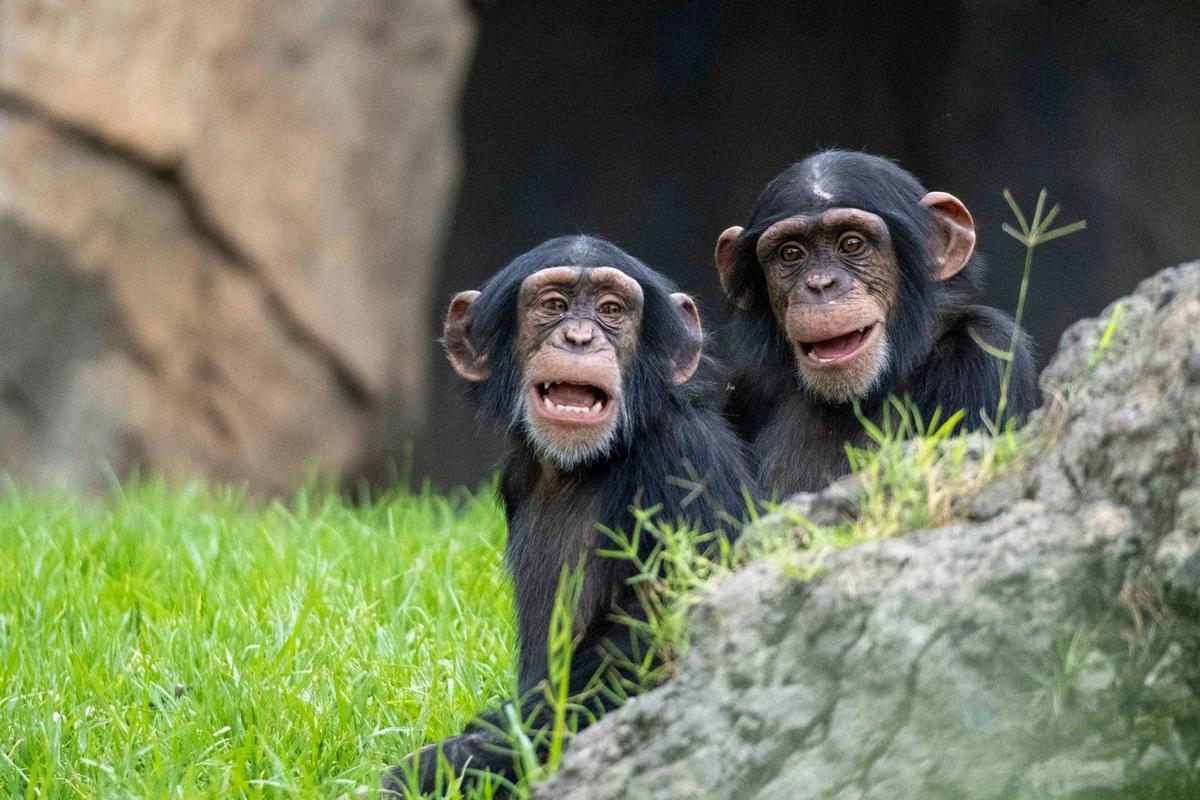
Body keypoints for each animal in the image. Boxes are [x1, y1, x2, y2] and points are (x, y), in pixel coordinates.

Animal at [384, 235, 753, 796]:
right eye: (554, 305)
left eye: (611, 310)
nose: (579, 337)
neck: (587, 464)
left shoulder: (688, 463)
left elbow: (657, 640)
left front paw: (446, 761)